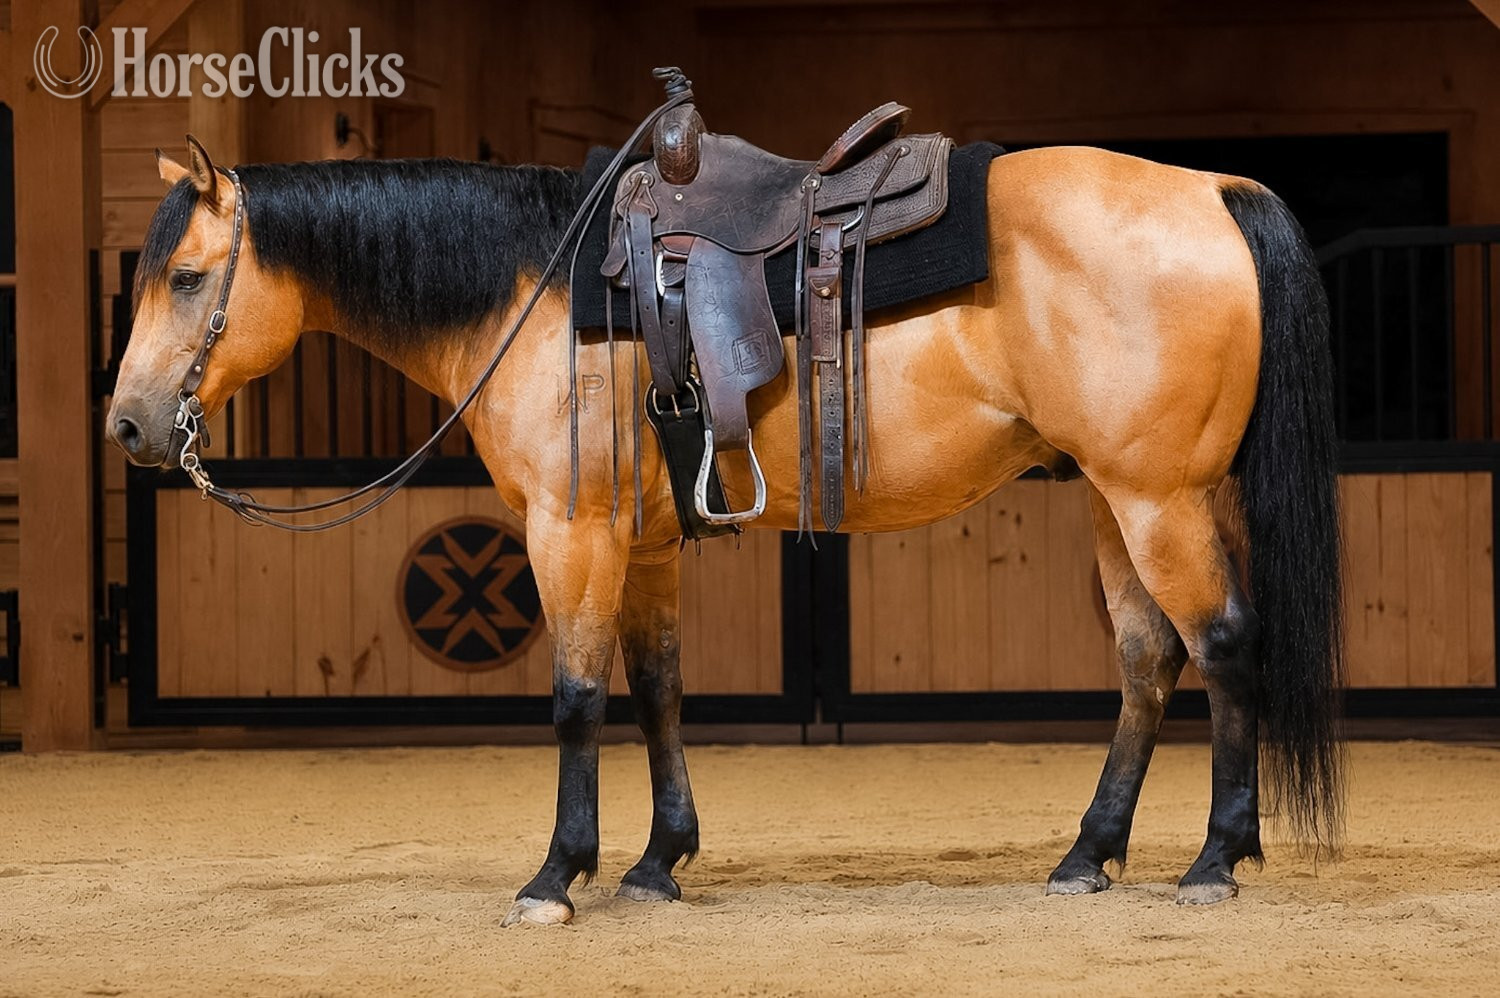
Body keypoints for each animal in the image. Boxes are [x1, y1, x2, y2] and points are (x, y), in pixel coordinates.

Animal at [108, 132, 1344, 925]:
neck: (540, 290)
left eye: (188, 277)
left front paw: (556, 875)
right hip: (1114, 497)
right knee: (1148, 659)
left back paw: (1216, 856)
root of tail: (1214, 187)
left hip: (1157, 498)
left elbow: (576, 697)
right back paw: (1090, 852)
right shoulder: (643, 545)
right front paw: (659, 860)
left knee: (1224, 643)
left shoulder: (571, 533)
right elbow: (657, 691)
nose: (127, 424)